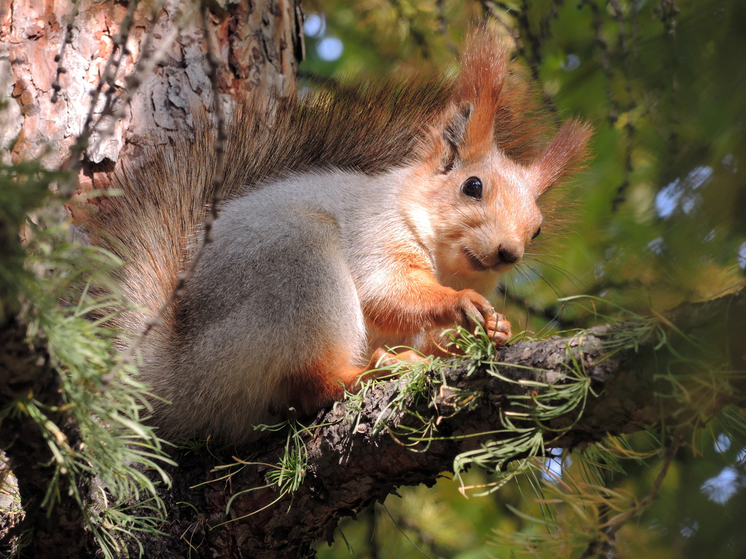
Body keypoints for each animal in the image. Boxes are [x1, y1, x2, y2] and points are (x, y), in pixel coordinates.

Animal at [85, 28, 588, 446]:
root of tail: (180, 385)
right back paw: (373, 370)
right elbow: (386, 293)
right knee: (309, 384)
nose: (509, 252)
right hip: (297, 275)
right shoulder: (374, 233)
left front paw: (495, 329)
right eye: (473, 186)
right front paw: (460, 303)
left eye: (537, 228)